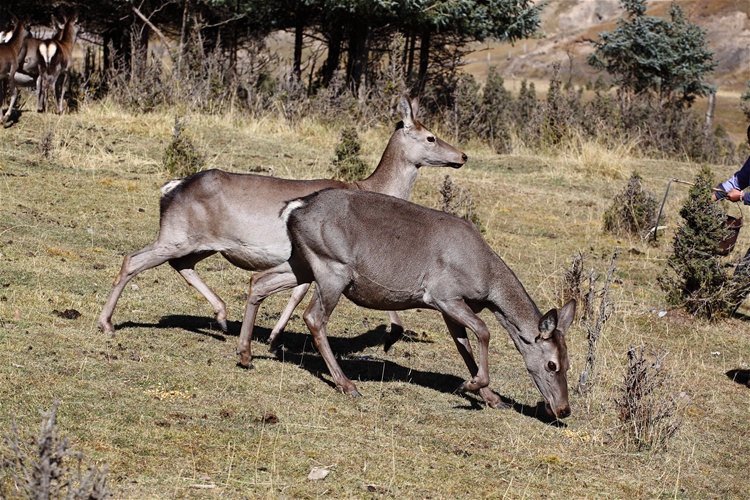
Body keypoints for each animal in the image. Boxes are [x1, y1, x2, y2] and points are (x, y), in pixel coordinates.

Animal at [97, 96, 468, 352]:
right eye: (431, 137)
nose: (463, 156)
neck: (370, 187)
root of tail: (169, 188)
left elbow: (297, 291)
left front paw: (274, 337)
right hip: (176, 235)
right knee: (133, 260)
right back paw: (107, 324)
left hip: (201, 243)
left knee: (181, 264)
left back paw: (221, 316)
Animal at [270, 188, 576, 418]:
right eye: (552, 365)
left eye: (569, 362)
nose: (564, 409)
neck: (487, 281)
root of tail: (295, 208)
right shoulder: (443, 294)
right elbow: (483, 331)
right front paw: (470, 386)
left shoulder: (449, 308)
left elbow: (463, 346)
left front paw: (491, 397)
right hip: (332, 268)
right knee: (314, 317)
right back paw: (347, 384)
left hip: (301, 262)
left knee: (263, 282)